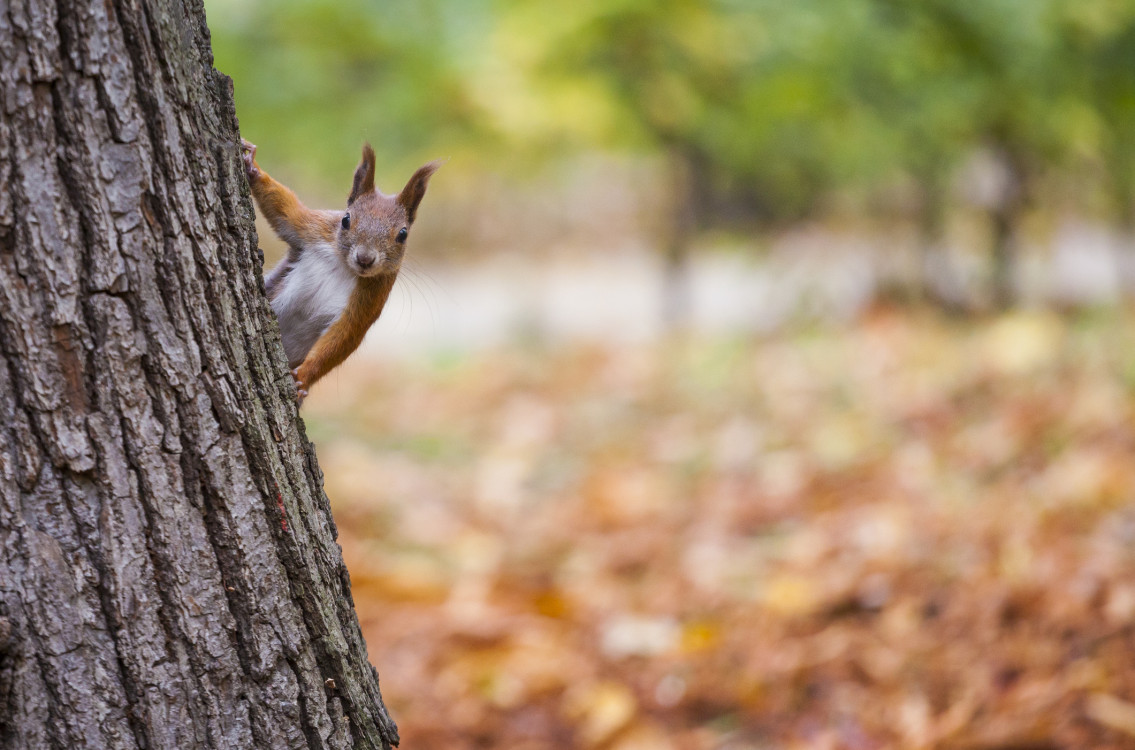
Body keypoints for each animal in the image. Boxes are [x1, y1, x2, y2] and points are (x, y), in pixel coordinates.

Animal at [241, 139, 438, 403]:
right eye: (345, 220)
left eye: (403, 234)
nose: (365, 259)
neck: (343, 265)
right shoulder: (313, 228)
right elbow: (285, 210)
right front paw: (253, 167)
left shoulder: (370, 299)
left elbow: (343, 336)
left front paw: (303, 378)